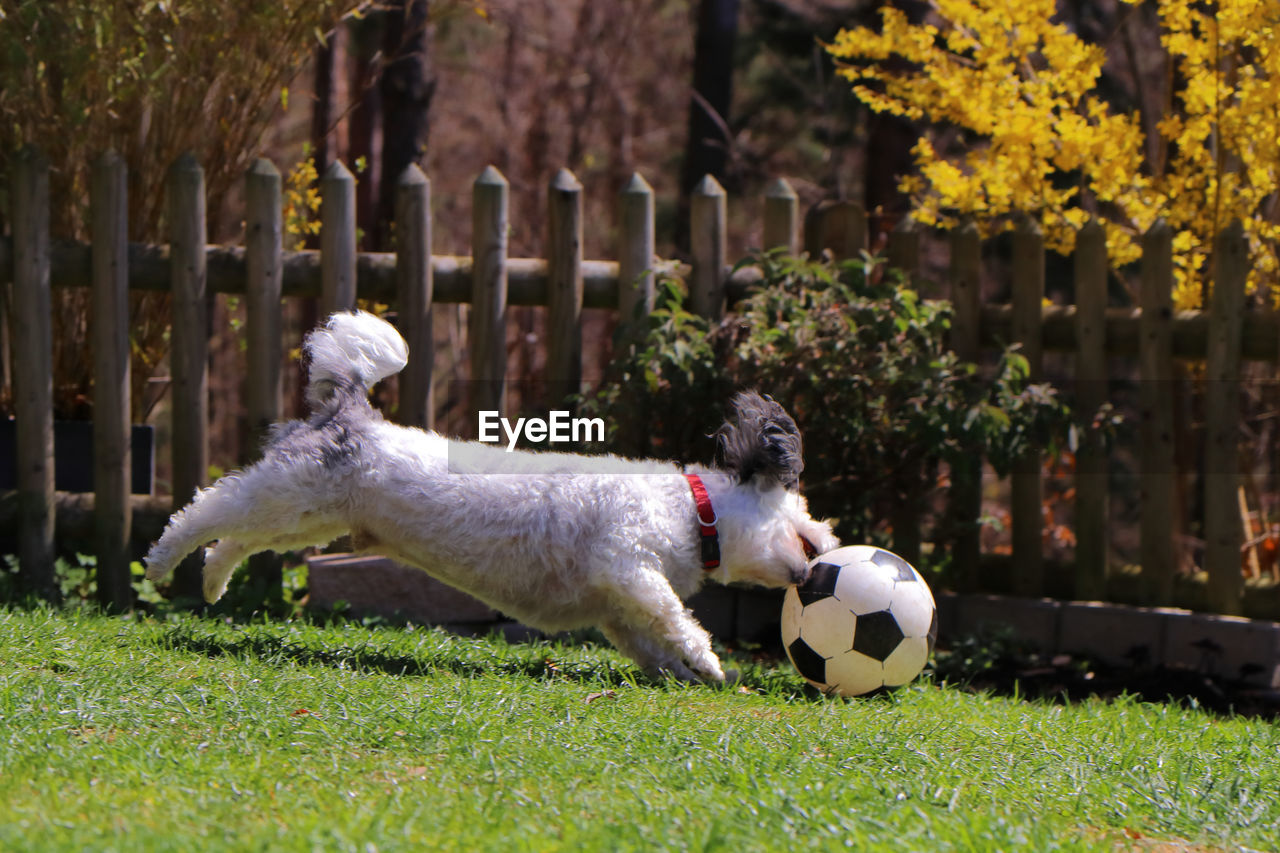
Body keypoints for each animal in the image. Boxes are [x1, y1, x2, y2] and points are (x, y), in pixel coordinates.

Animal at [145, 311, 834, 676]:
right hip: (289, 493)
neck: (694, 509)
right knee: (206, 509)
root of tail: (352, 411)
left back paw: (211, 582)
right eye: (804, 522)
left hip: (305, 515)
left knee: (235, 537)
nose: (819, 563)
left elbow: (647, 638)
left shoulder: (616, 604)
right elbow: (673, 616)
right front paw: (712, 663)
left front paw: (680, 674)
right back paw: (160, 562)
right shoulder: (627, 564)